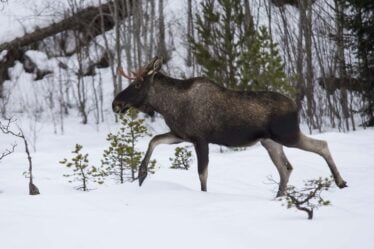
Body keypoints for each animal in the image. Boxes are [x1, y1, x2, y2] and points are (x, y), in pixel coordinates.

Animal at [112, 57, 346, 196]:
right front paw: (141, 174)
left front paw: (203, 195)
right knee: (286, 168)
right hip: (270, 142)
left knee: (321, 145)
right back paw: (279, 197)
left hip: (287, 135)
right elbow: (154, 141)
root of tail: (296, 106)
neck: (167, 106)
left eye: (137, 84)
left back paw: (340, 181)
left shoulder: (200, 139)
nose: (116, 104)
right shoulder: (181, 135)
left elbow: (202, 173)